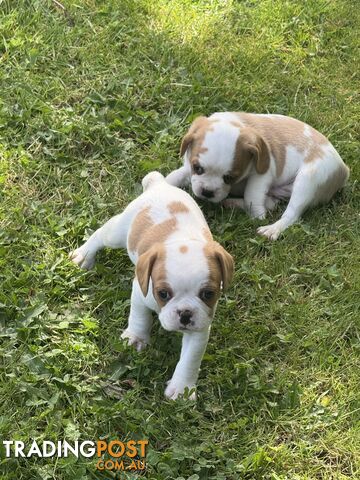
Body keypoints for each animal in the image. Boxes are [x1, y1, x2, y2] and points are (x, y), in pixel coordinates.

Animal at [69, 172, 233, 398]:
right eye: (163, 294)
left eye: (208, 294)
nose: (185, 314)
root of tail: (160, 184)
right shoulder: (140, 293)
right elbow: (140, 317)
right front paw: (136, 338)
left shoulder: (201, 326)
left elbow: (190, 360)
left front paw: (182, 389)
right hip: (119, 232)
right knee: (102, 234)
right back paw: (84, 255)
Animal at [167, 112, 350, 240]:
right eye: (197, 168)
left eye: (229, 178)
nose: (207, 192)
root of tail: (344, 168)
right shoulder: (188, 167)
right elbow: (176, 176)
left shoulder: (263, 174)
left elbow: (252, 195)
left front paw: (257, 216)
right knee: (273, 203)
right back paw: (232, 202)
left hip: (309, 179)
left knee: (291, 214)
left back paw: (272, 229)